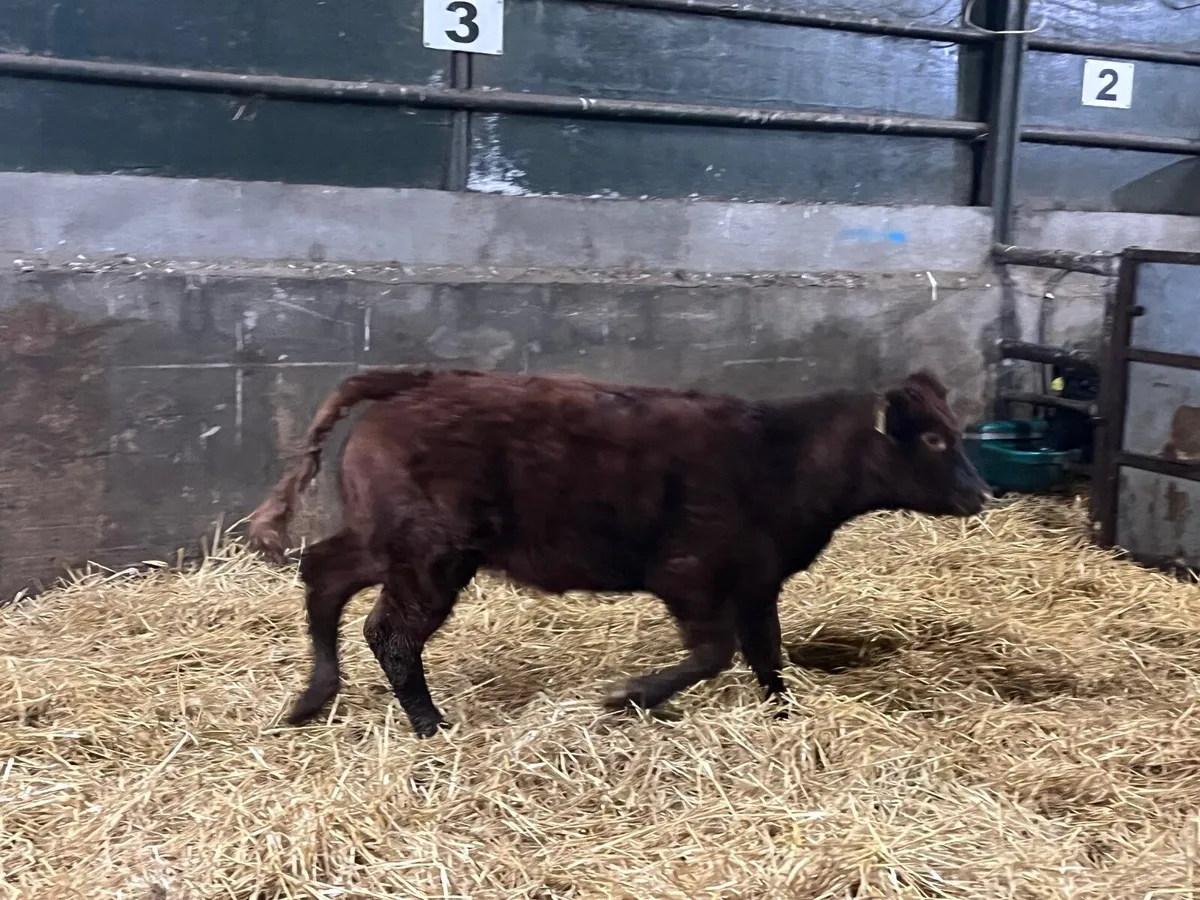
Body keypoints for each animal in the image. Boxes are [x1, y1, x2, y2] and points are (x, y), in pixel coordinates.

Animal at [247, 366, 991, 738]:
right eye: (932, 439)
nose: (982, 494)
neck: (780, 455)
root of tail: (410, 383)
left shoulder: (757, 582)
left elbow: (766, 655)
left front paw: (785, 715)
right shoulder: (691, 576)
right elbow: (715, 652)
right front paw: (630, 697)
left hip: (391, 542)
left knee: (324, 572)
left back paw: (313, 698)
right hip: (431, 554)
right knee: (389, 631)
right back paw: (430, 725)